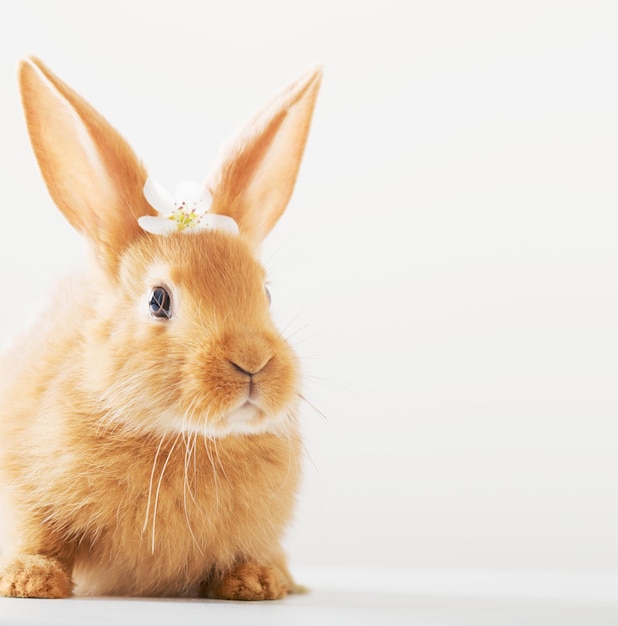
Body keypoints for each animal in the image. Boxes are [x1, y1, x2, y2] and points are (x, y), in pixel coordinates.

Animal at [0, 58, 320, 600]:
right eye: (158, 300)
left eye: (266, 293)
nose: (252, 362)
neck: (183, 439)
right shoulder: (25, 486)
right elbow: (40, 534)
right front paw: (29, 581)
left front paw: (255, 581)